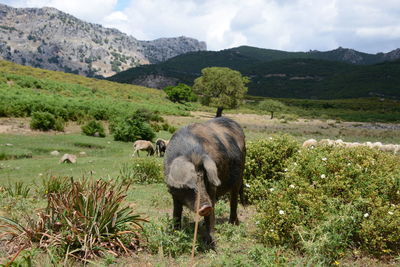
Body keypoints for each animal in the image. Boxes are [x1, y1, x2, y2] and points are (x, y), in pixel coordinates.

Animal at [164, 117, 245, 249]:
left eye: (204, 178)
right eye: (188, 186)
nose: (206, 207)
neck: (191, 154)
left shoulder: (212, 187)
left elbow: (210, 216)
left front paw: (210, 245)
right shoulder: (174, 193)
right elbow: (176, 212)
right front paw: (175, 234)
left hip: (240, 174)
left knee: (234, 200)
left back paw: (233, 224)